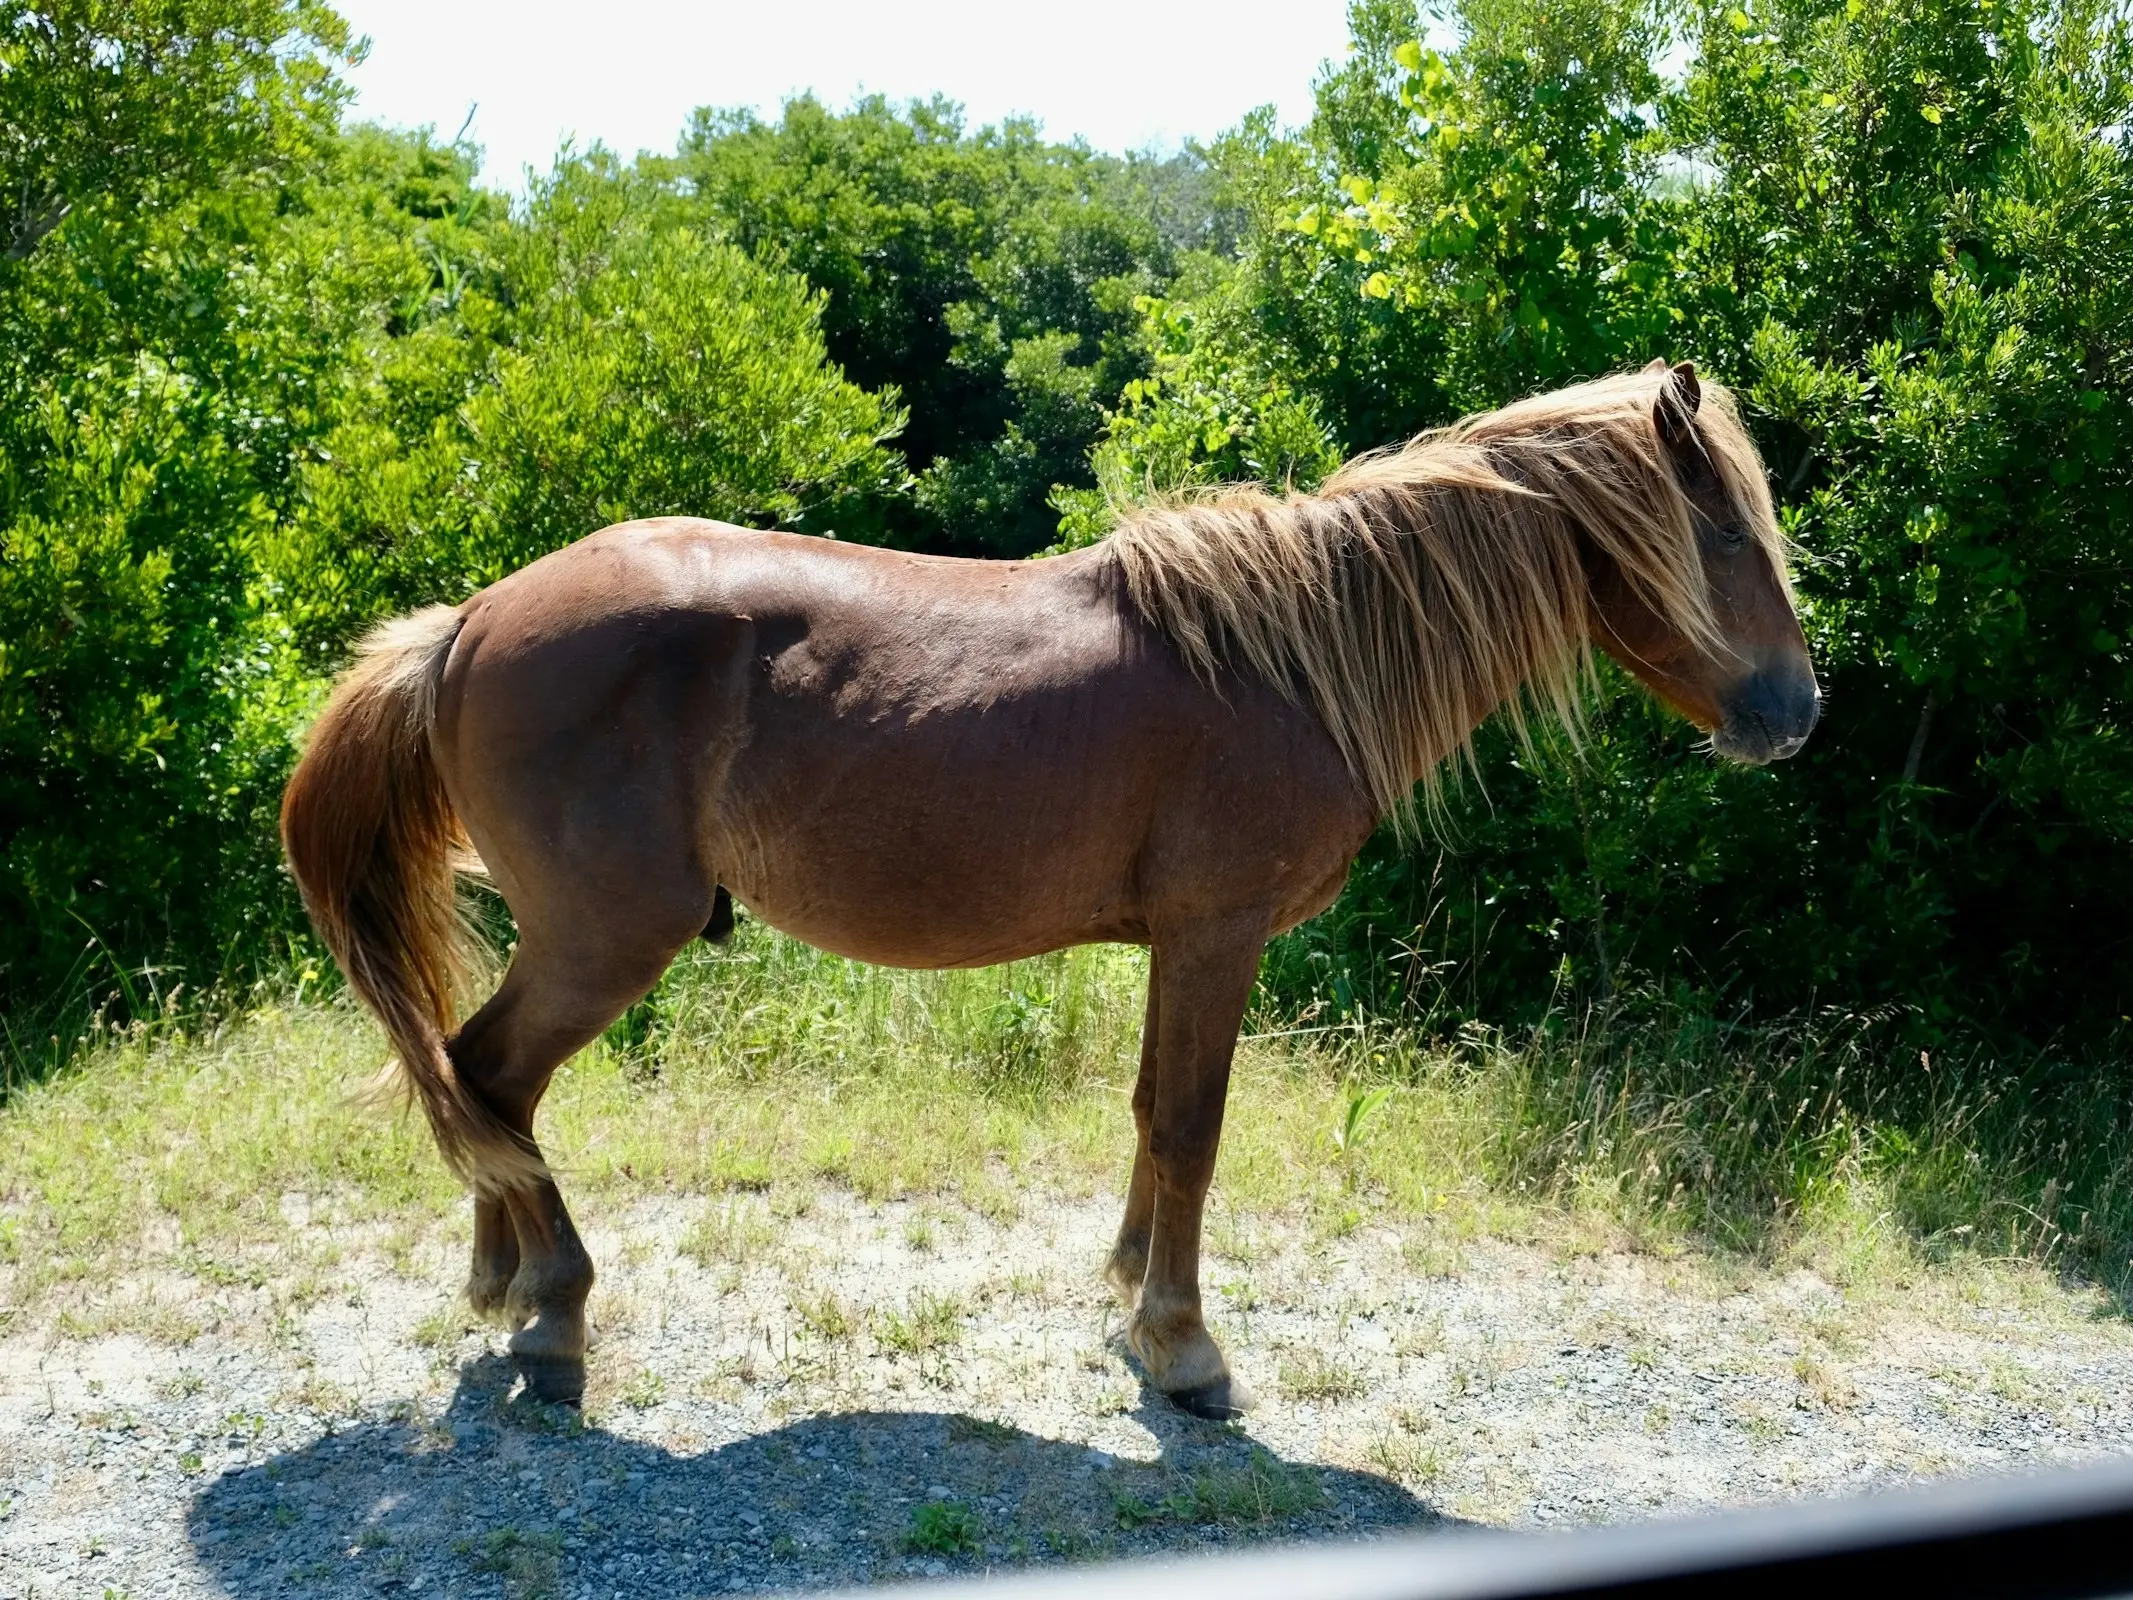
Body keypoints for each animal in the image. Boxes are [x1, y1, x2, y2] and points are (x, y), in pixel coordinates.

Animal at [279, 362, 1817, 1416]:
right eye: (1727, 537)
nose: (1796, 713)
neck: (1294, 656)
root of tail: (473, 619)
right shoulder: (1216, 936)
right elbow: (1193, 1128)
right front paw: (1186, 1350)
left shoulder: (1175, 946)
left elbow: (1148, 1115)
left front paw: (1129, 1294)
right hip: (606, 939)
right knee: (488, 1073)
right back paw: (553, 1317)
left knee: (490, 1087)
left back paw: (503, 1289)